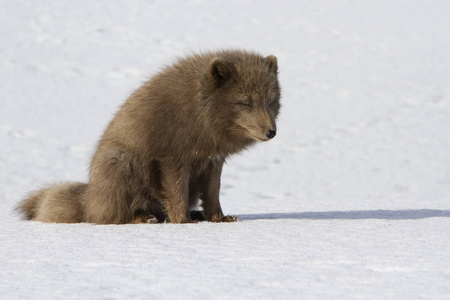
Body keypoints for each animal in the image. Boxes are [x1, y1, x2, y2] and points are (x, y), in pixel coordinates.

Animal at [16, 48, 282, 223]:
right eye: (245, 102)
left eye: (270, 100)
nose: (271, 132)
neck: (199, 111)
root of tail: (89, 198)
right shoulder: (173, 158)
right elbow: (176, 194)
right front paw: (184, 223)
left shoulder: (211, 159)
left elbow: (212, 193)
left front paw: (218, 219)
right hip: (121, 162)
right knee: (112, 218)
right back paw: (145, 218)